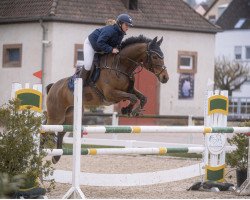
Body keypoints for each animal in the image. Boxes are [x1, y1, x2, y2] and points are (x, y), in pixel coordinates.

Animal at [45, 34, 170, 163]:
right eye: (155, 56)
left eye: (162, 56)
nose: (165, 77)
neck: (121, 66)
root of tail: (53, 86)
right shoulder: (111, 94)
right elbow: (133, 98)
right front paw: (130, 110)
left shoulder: (129, 90)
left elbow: (143, 98)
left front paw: (131, 111)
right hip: (56, 115)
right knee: (48, 128)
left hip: (70, 116)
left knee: (60, 132)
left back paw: (56, 157)